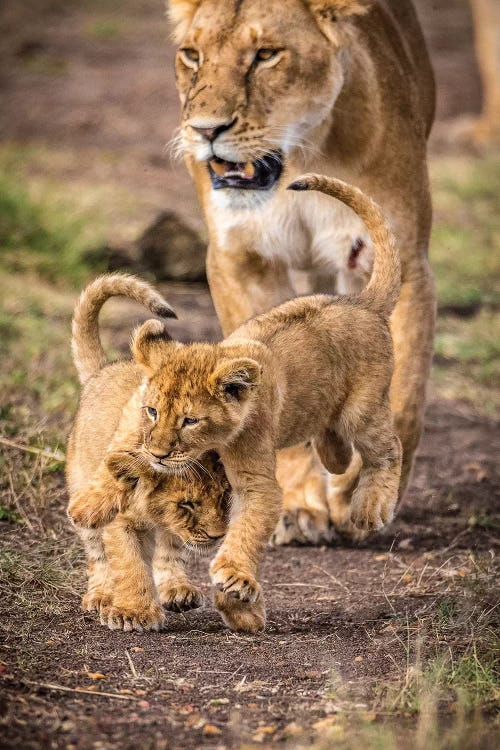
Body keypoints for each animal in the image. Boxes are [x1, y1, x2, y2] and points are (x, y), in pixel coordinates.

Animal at [167, 0, 434, 544]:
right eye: (192, 54)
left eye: (266, 55)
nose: (205, 131)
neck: (301, 153)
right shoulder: (241, 259)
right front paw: (296, 504)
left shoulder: (405, 262)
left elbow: (405, 397)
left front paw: (358, 495)